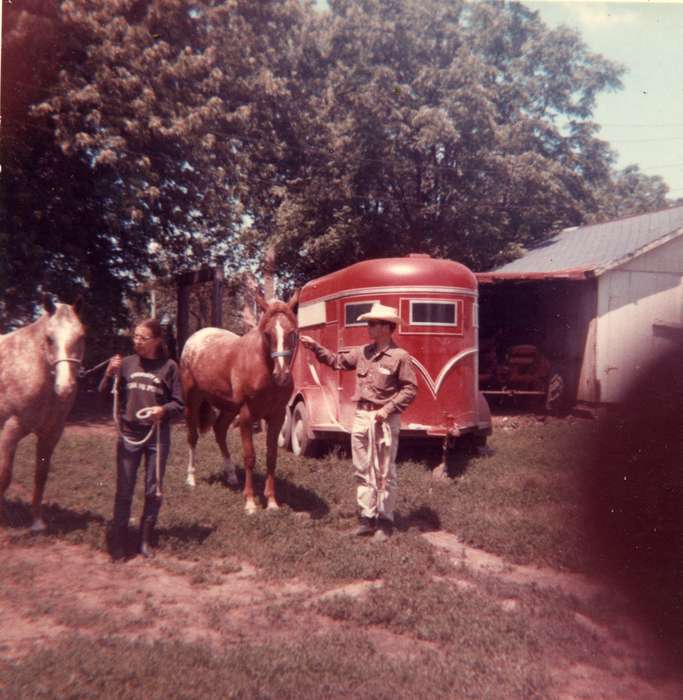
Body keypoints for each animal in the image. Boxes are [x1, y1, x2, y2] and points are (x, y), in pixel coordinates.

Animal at [0, 296, 85, 532]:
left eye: (81, 336)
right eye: (49, 338)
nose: (65, 388)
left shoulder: (51, 433)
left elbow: (41, 475)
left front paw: (37, 522)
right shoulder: (10, 431)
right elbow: (5, 475)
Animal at [182, 290, 300, 516]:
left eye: (292, 333)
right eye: (267, 334)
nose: (281, 376)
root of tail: (194, 339)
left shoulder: (277, 416)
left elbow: (271, 456)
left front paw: (272, 502)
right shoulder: (246, 416)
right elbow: (249, 457)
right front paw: (251, 503)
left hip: (228, 408)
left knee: (219, 431)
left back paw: (231, 475)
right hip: (191, 401)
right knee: (192, 437)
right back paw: (191, 478)